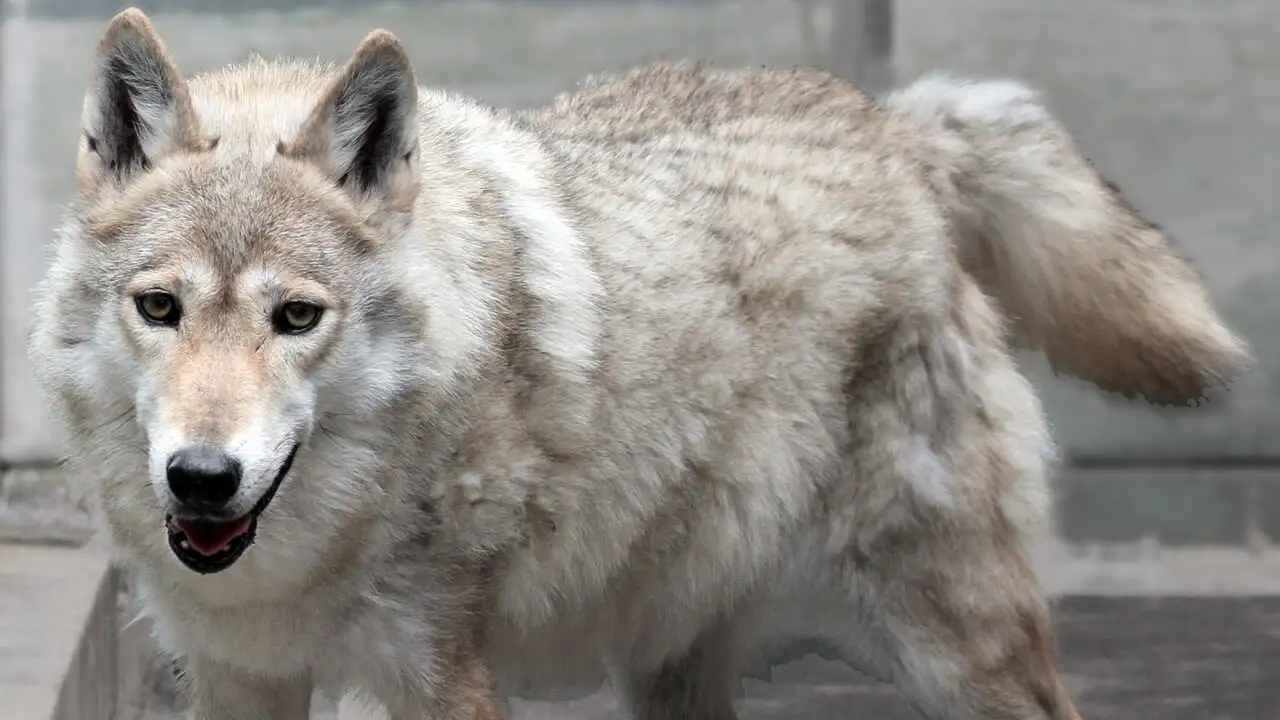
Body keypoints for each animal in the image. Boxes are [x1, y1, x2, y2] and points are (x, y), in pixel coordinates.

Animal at [29, 7, 1248, 720]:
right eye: (160, 308)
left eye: (294, 318)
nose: (202, 479)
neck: (306, 555)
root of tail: (890, 124)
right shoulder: (241, 677)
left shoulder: (440, 674)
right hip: (674, 660)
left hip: (961, 647)